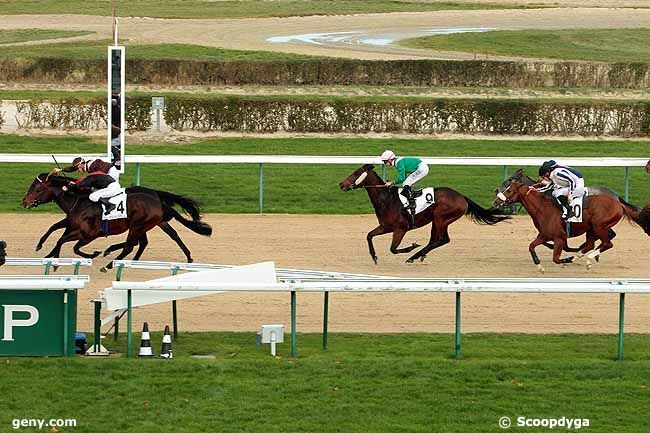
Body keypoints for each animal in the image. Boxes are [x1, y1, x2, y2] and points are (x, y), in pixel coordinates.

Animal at [21, 172, 210, 270]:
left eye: (37, 189)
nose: (24, 201)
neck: (79, 200)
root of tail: (157, 199)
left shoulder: (88, 234)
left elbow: (67, 243)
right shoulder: (72, 223)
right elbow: (55, 229)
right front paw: (44, 250)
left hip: (138, 226)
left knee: (130, 246)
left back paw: (109, 262)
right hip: (146, 225)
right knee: (155, 239)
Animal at [336, 163, 508, 262]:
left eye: (356, 173)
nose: (341, 184)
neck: (386, 199)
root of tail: (461, 197)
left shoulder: (401, 228)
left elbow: (393, 249)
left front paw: (411, 247)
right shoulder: (386, 227)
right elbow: (369, 235)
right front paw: (374, 256)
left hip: (441, 218)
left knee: (443, 239)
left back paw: (414, 255)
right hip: (436, 220)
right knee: (435, 240)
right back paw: (419, 255)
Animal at [492, 175, 648, 270]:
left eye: (509, 188)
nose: (496, 200)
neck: (543, 208)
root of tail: (618, 202)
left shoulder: (560, 237)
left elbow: (556, 257)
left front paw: (565, 261)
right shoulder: (544, 235)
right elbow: (531, 246)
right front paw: (540, 266)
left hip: (599, 226)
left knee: (607, 242)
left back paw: (589, 257)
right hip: (592, 229)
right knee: (592, 244)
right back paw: (584, 256)